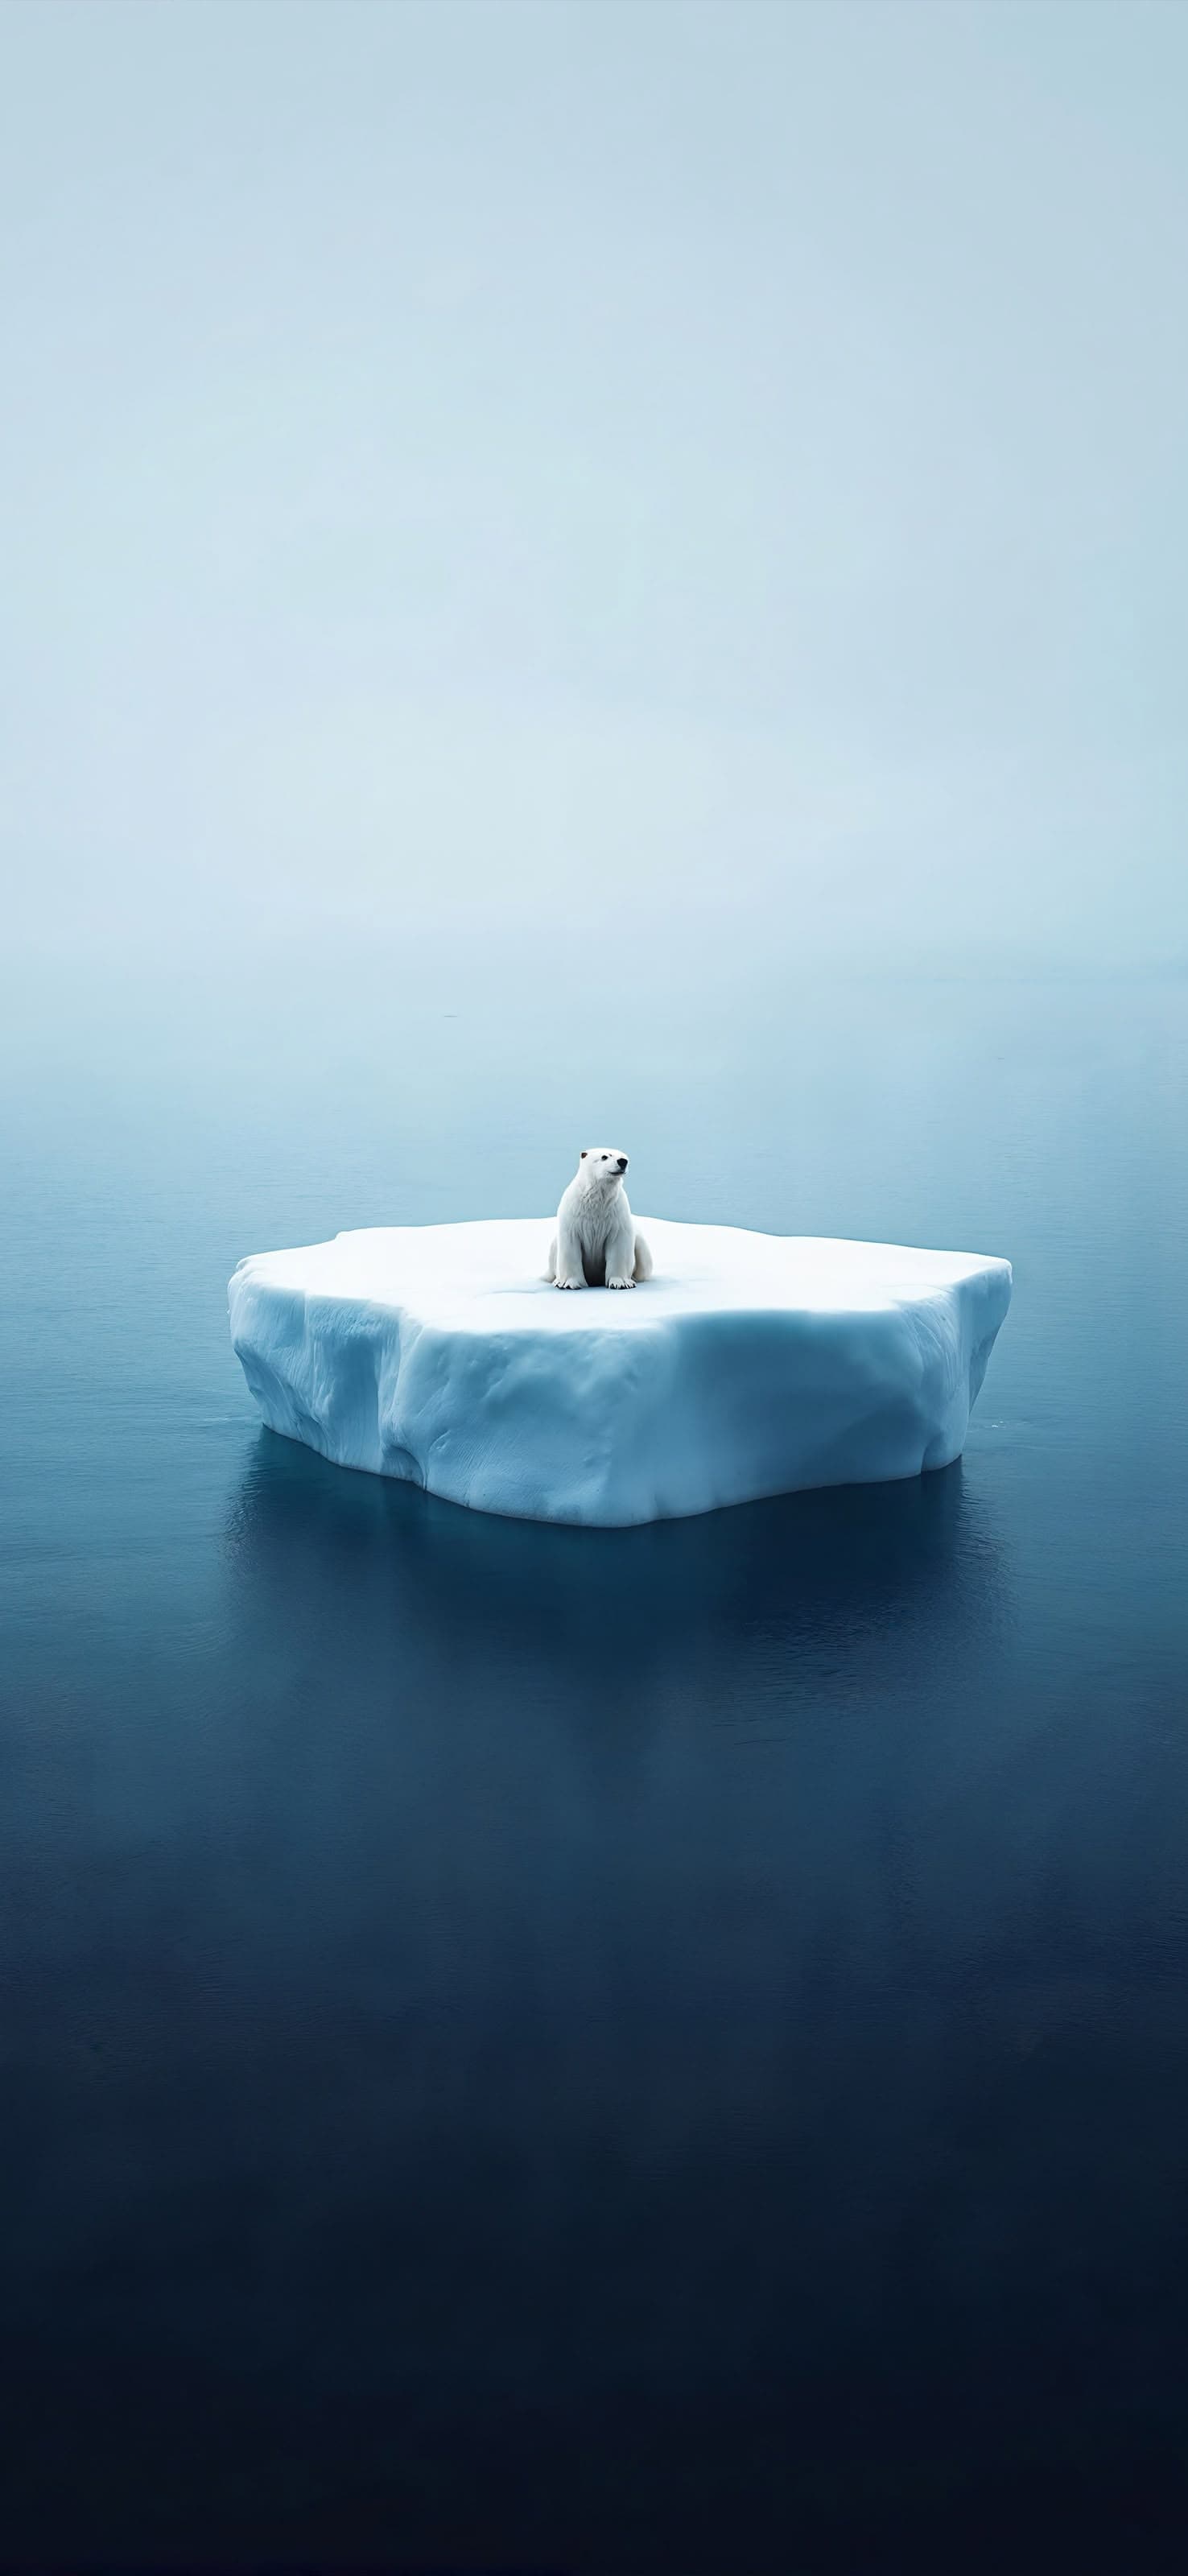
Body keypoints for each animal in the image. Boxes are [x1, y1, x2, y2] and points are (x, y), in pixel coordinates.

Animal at [547, 1147, 653, 1290]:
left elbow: (618, 1246)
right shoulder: (573, 1215)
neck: (596, 1199)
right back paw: (557, 1280)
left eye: (624, 1156)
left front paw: (620, 1283)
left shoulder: (616, 1215)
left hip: (641, 1245)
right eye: (604, 1157)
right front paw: (569, 1284)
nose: (623, 1161)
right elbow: (570, 1247)